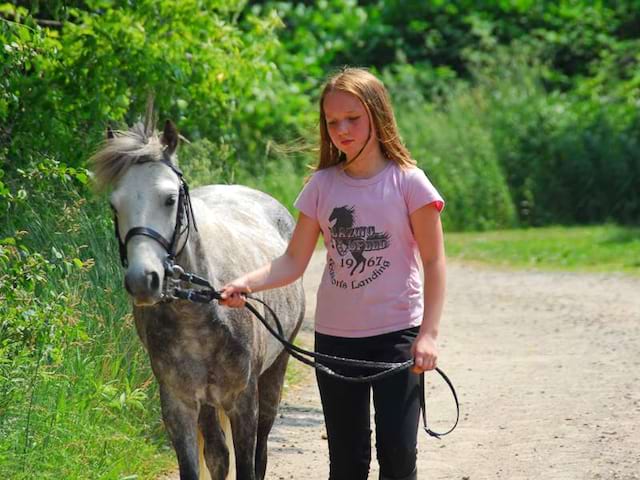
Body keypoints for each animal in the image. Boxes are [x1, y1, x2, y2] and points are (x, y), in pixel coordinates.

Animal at [89, 113, 304, 480]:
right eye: (114, 205)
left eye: (169, 198)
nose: (143, 280)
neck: (201, 315)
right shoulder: (180, 405)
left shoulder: (243, 403)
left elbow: (248, 465)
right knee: (218, 455)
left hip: (274, 374)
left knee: (260, 452)